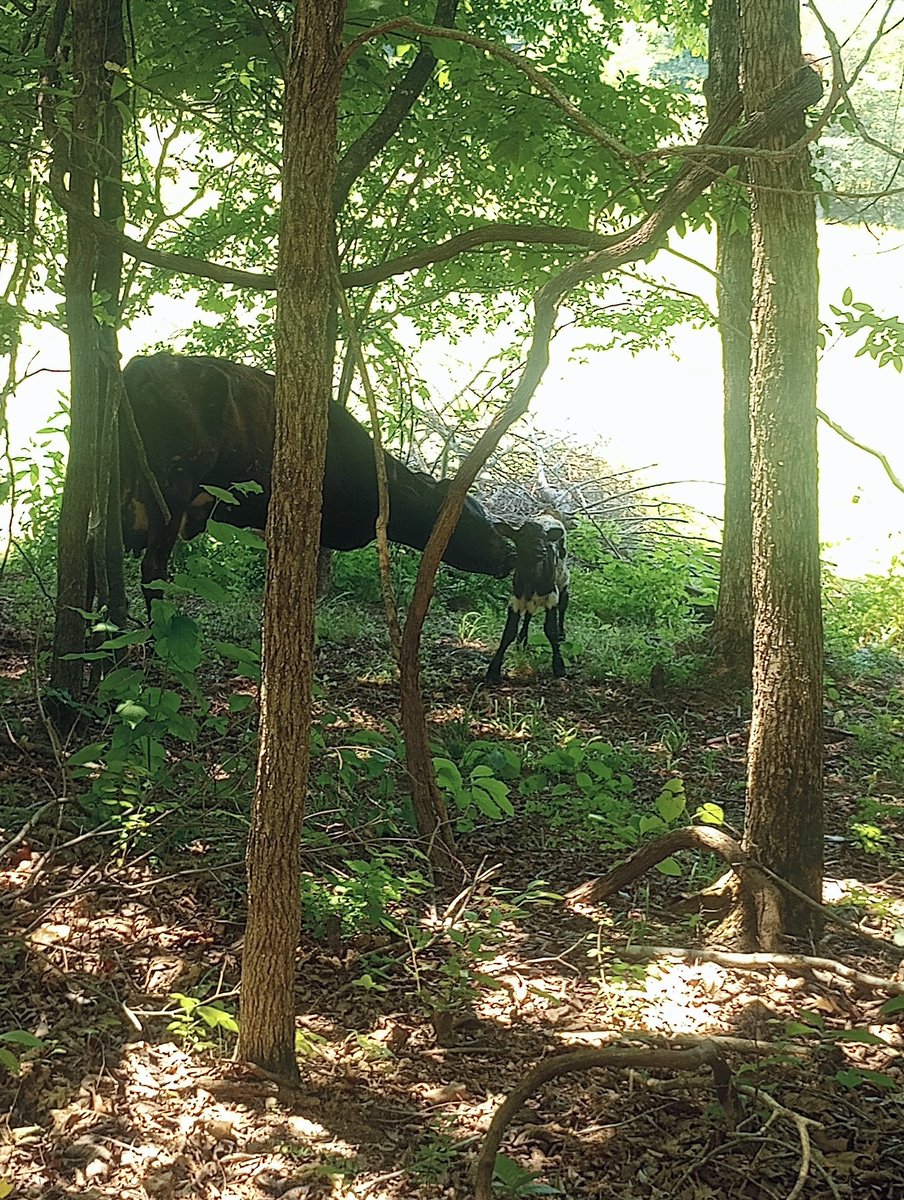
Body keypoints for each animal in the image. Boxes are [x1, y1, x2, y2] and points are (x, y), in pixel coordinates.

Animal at [484, 514, 569, 683]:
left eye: (544, 538)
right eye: (522, 536)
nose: (541, 550)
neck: (532, 578)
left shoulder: (552, 596)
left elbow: (551, 630)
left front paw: (559, 666)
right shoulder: (515, 599)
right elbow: (508, 633)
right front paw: (493, 671)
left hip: (563, 578)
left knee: (563, 605)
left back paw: (562, 634)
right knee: (529, 614)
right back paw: (522, 639)